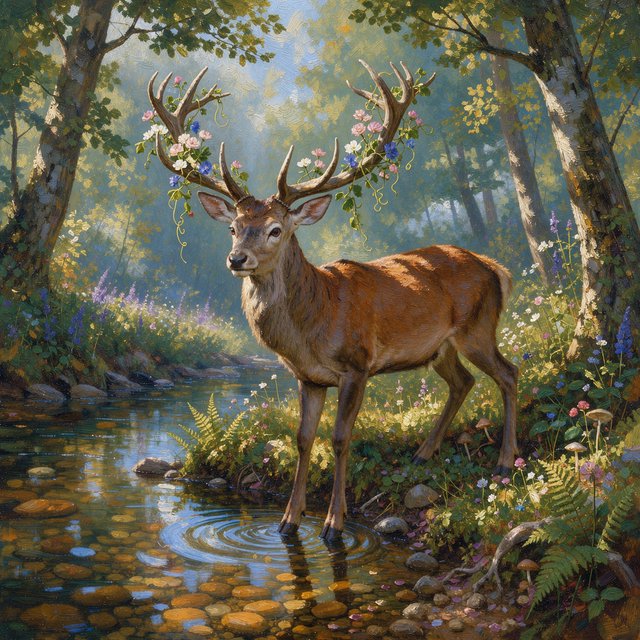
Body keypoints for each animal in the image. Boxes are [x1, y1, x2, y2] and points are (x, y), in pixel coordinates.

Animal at [148, 60, 518, 540]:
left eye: (276, 229)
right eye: (233, 227)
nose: (236, 259)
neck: (314, 323)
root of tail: (495, 268)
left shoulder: (357, 365)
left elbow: (341, 438)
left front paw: (333, 524)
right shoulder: (308, 378)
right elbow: (303, 438)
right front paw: (288, 521)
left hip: (478, 326)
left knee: (508, 374)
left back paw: (505, 461)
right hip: (440, 348)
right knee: (463, 382)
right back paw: (423, 452)